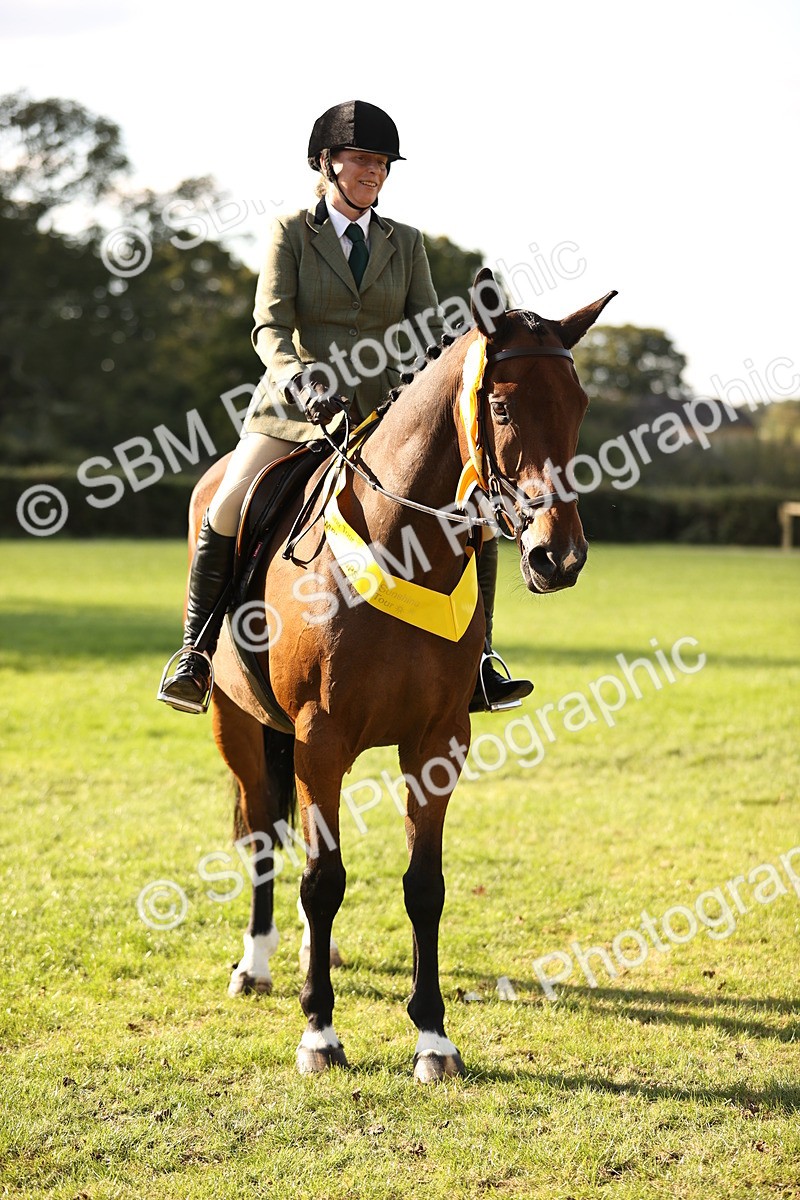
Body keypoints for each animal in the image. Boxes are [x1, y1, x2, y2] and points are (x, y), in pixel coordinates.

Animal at [186, 268, 616, 1081]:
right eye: (503, 405)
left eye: (579, 405)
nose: (560, 557)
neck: (401, 546)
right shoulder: (320, 740)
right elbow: (323, 879)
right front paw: (319, 1032)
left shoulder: (437, 743)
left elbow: (424, 887)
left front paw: (433, 1037)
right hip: (238, 721)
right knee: (263, 834)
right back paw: (256, 965)